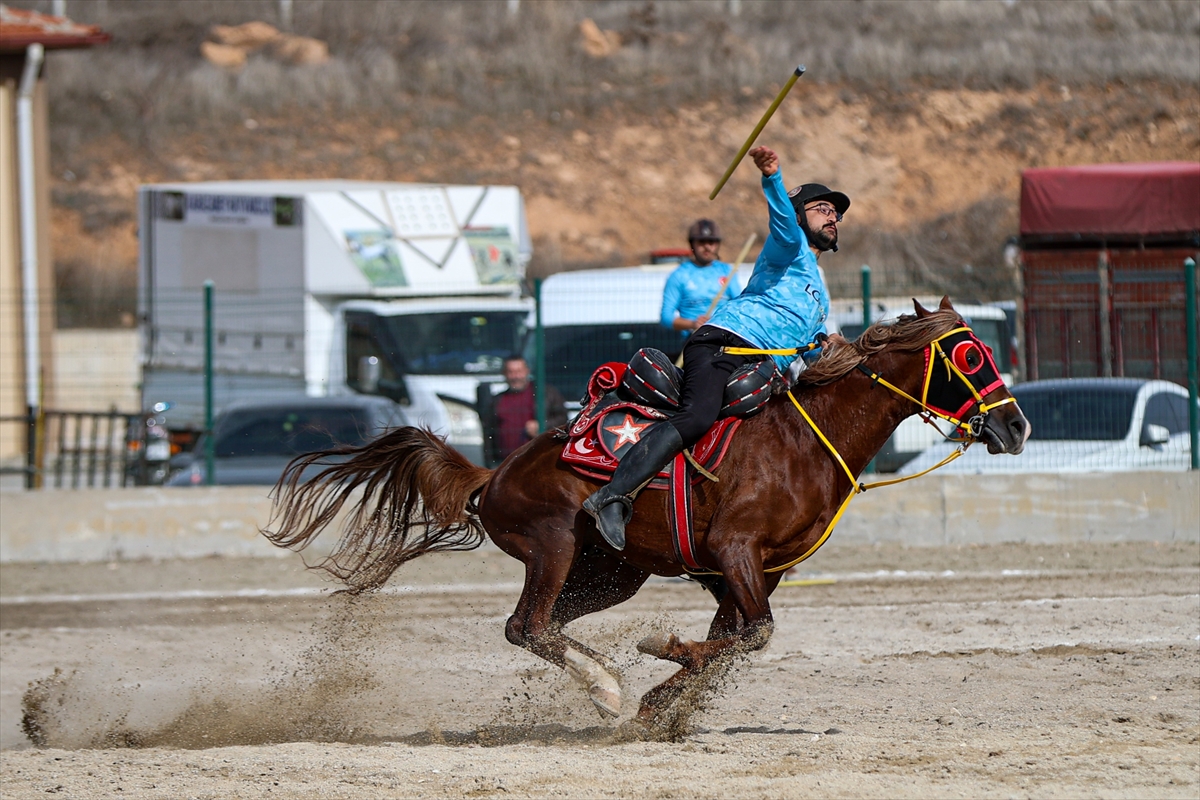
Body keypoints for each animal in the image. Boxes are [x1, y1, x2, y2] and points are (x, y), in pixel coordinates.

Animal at [262, 298, 1032, 734]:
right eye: (971, 354)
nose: (1017, 426)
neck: (805, 442)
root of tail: (495, 472)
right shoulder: (735, 552)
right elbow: (751, 636)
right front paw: (661, 657)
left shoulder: (753, 574)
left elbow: (737, 640)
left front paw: (663, 704)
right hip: (551, 547)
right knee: (525, 626)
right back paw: (606, 687)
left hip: (611, 575)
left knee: (549, 627)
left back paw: (605, 679)